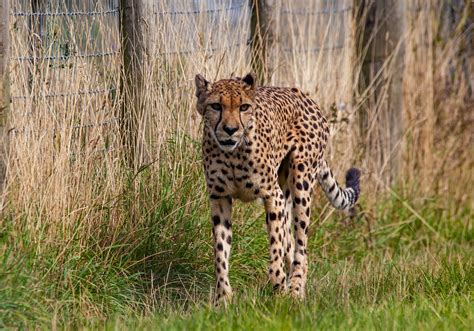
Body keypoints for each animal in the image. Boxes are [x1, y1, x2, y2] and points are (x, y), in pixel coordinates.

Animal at [194, 73, 362, 306]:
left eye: (244, 107)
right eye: (216, 106)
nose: (230, 130)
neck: (233, 154)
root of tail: (301, 94)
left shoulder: (273, 197)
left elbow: (275, 247)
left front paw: (278, 286)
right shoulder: (219, 198)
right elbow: (220, 253)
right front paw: (223, 299)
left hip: (301, 181)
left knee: (300, 247)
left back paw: (294, 289)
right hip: (287, 191)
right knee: (290, 242)